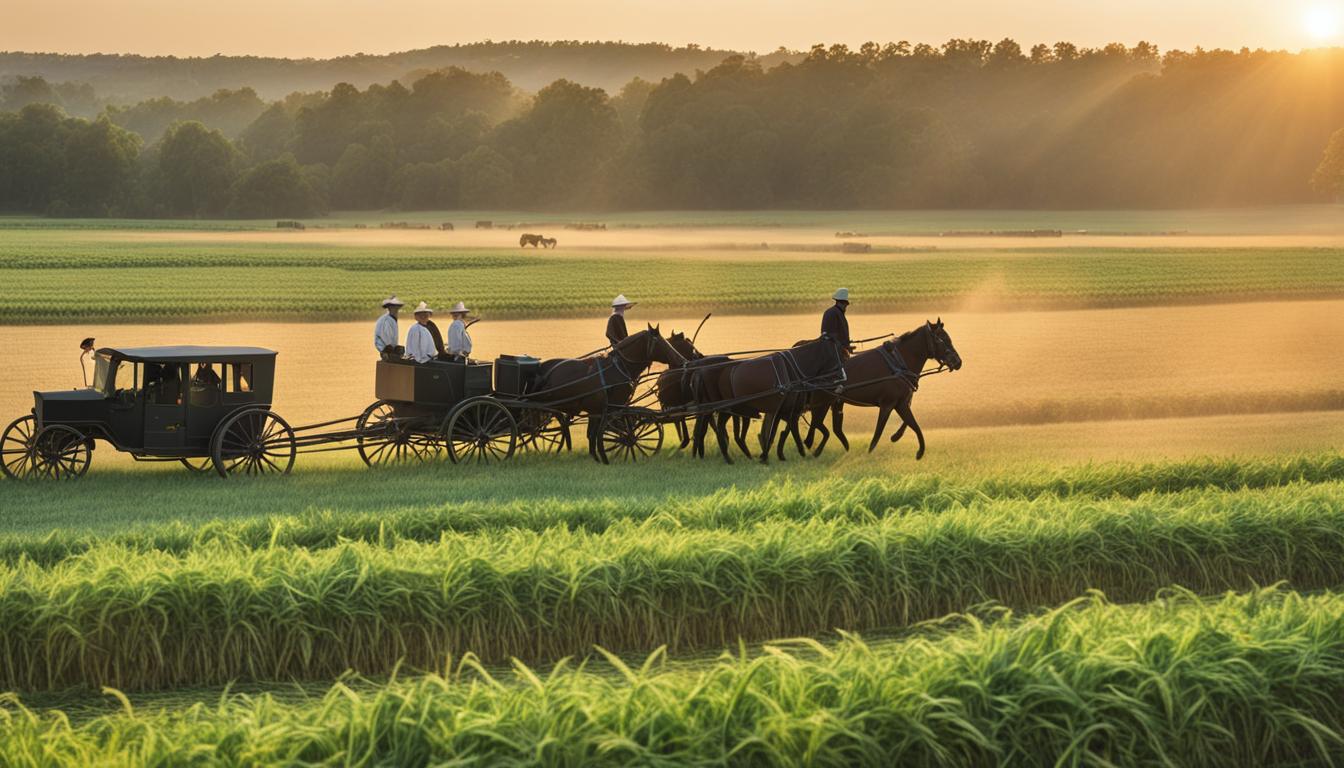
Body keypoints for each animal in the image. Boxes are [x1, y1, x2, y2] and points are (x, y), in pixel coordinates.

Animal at [532, 324, 688, 462]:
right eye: (661, 342)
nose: (681, 360)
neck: (617, 368)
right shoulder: (608, 410)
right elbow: (611, 434)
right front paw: (607, 456)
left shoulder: (597, 411)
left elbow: (593, 435)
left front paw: (596, 459)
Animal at [693, 334, 838, 462]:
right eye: (836, 353)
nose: (839, 377)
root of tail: (701, 372)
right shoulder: (787, 410)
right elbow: (783, 431)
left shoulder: (782, 410)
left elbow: (777, 432)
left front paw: (772, 454)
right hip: (726, 408)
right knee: (718, 428)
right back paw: (726, 456)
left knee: (713, 427)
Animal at [795, 317, 967, 459]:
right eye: (942, 340)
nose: (958, 362)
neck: (898, 362)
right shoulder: (888, 404)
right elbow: (881, 430)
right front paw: (871, 452)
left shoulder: (901, 403)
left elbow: (912, 423)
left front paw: (906, 443)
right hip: (822, 403)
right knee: (815, 424)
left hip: (832, 402)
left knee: (826, 426)